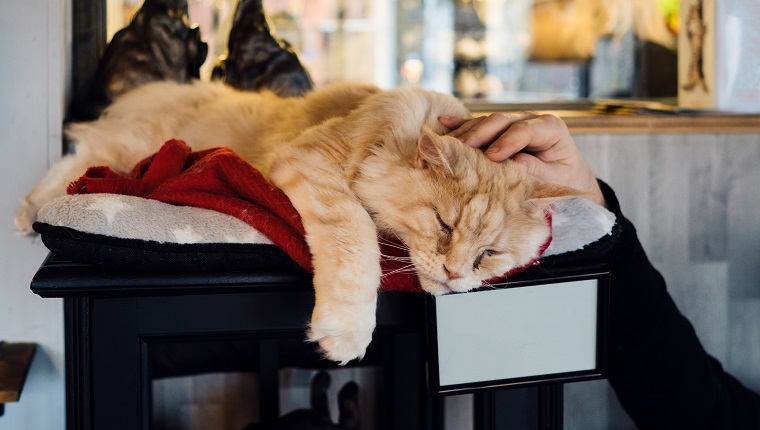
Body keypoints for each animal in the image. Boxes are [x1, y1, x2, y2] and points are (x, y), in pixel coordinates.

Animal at [14, 80, 580, 362]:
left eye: (489, 254)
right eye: (443, 225)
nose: (456, 275)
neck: (388, 136)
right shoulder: (314, 165)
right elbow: (357, 242)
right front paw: (346, 334)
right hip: (132, 149)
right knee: (73, 165)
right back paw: (28, 214)